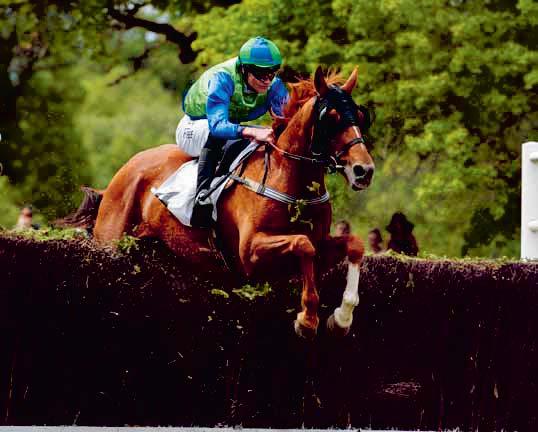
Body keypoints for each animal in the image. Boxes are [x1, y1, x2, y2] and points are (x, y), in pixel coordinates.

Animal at [62, 66, 372, 338]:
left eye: (359, 115)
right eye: (331, 117)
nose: (364, 171)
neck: (289, 178)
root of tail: (124, 170)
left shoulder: (320, 242)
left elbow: (353, 245)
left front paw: (341, 319)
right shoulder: (249, 252)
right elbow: (303, 244)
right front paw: (307, 320)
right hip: (111, 239)